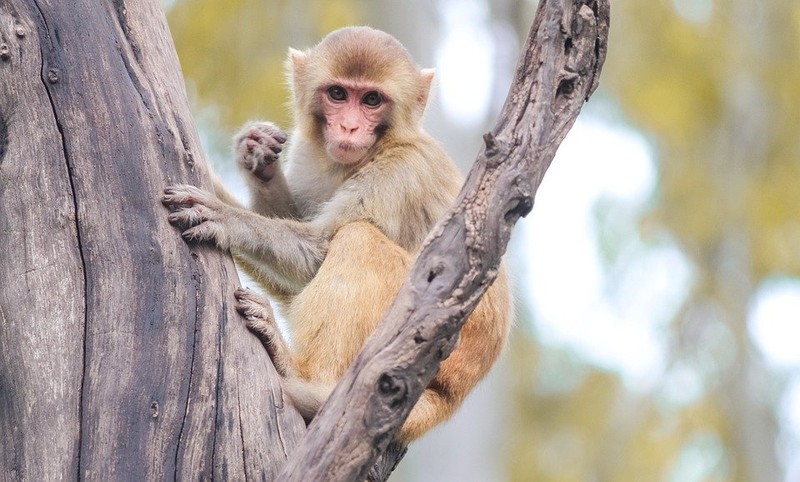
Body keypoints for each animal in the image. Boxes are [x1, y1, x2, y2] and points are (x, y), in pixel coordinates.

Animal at [162, 25, 510, 440]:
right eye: (338, 94)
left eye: (372, 99)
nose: (348, 127)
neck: (373, 152)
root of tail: (452, 395)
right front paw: (257, 157)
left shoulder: (404, 171)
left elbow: (318, 249)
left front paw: (225, 216)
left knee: (359, 238)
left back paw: (302, 373)